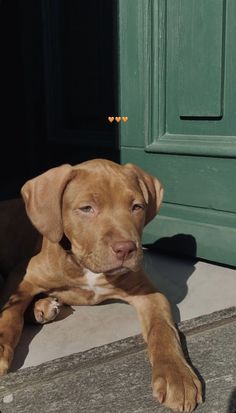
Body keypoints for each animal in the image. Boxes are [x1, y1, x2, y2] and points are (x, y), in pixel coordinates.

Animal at [0, 159, 203, 410]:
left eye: (136, 206)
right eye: (86, 208)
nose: (126, 249)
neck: (85, 266)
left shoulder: (149, 294)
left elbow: (163, 329)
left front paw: (176, 375)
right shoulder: (22, 276)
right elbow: (10, 316)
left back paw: (43, 306)